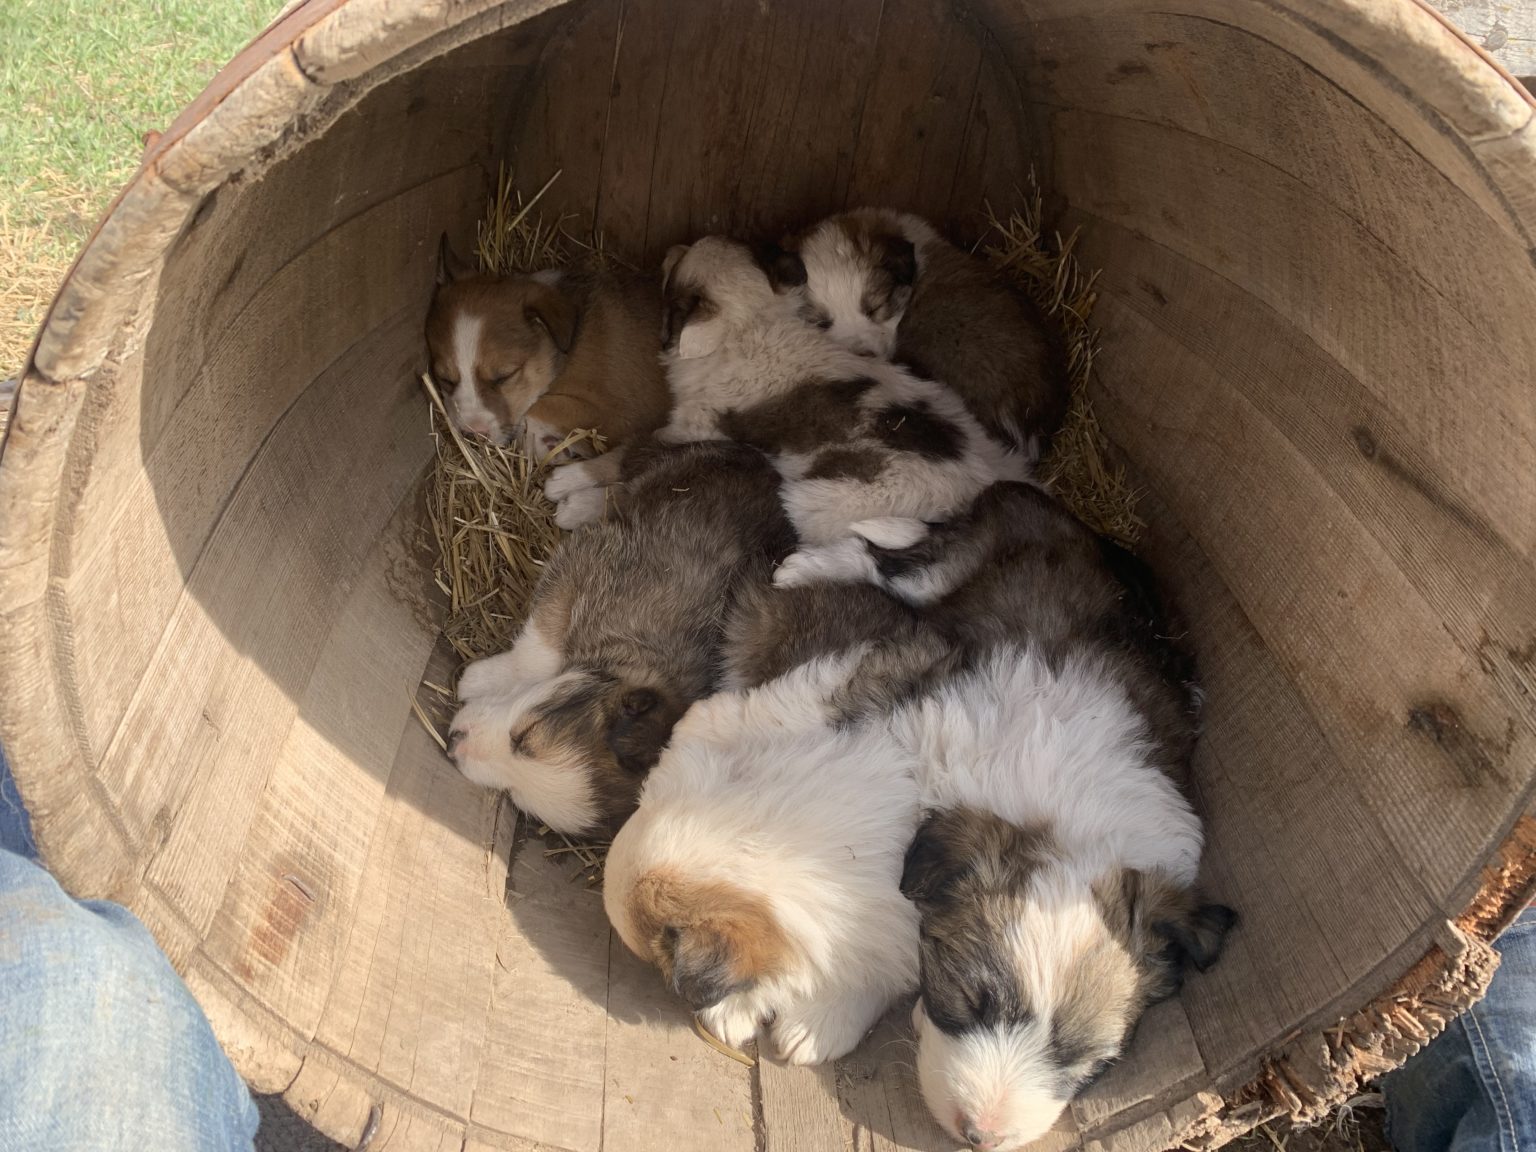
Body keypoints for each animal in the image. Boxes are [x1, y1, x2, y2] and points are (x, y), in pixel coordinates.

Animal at [445, 440, 794, 837]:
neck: (639, 657)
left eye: (515, 796)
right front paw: (481, 678)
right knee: (626, 466)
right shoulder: (588, 557)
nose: (452, 744)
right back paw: (570, 490)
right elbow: (539, 647)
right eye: (525, 735)